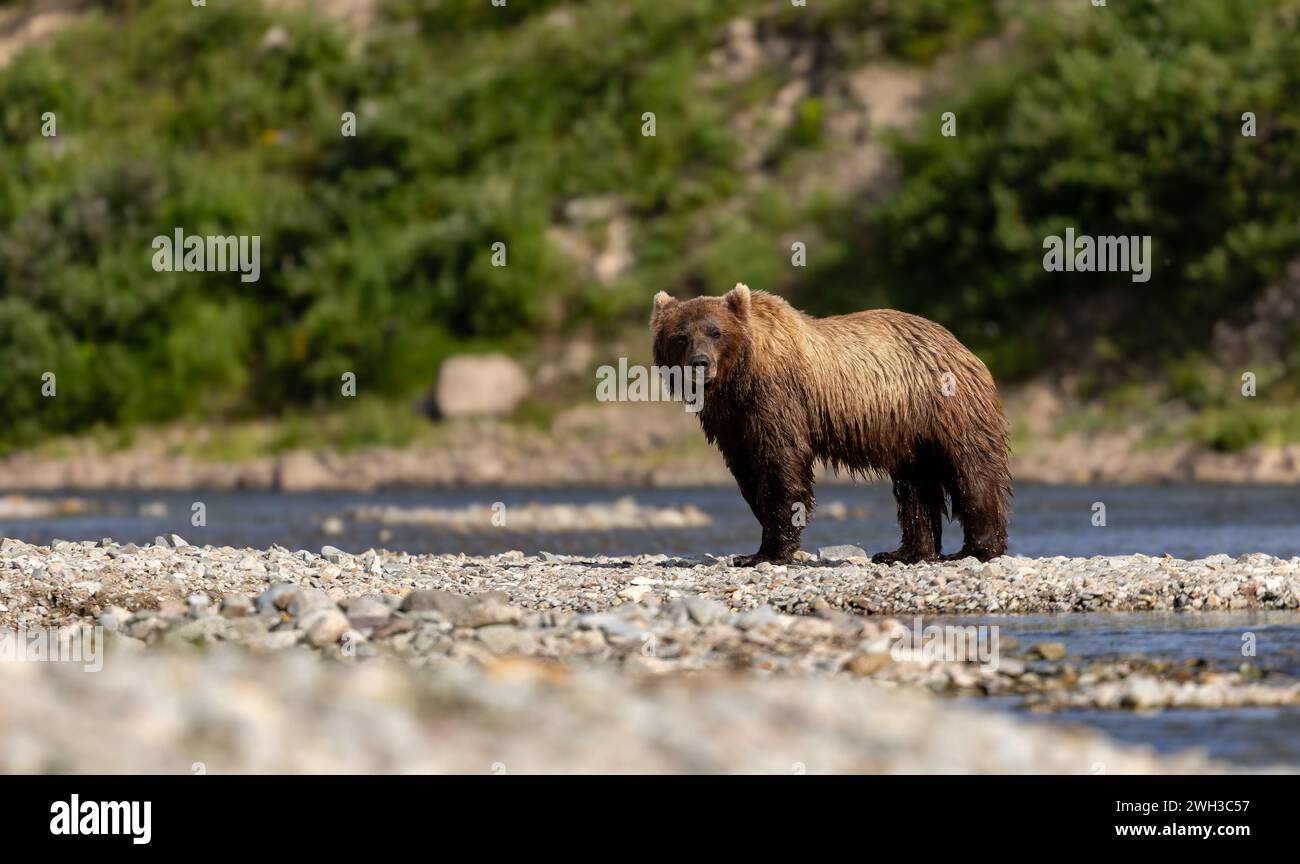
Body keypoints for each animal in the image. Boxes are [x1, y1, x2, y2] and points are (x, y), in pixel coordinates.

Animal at [655, 283, 1008, 566]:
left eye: (716, 332)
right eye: (680, 336)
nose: (700, 363)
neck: (739, 380)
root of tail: (960, 345)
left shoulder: (777, 400)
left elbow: (782, 466)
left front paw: (766, 552)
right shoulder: (731, 422)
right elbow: (749, 472)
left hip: (948, 409)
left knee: (971, 472)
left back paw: (977, 549)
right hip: (908, 431)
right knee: (915, 486)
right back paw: (905, 552)